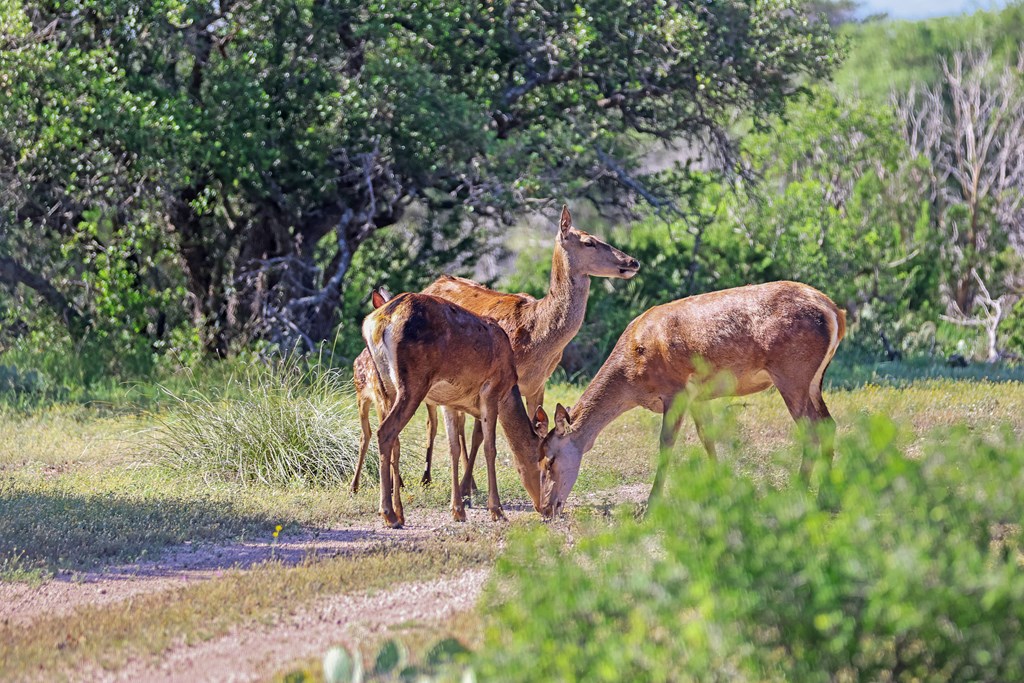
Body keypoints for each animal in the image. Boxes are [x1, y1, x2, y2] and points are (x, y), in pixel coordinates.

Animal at [362, 288, 548, 528]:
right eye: (545, 464)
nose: (546, 507)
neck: (509, 388)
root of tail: (380, 320)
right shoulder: (491, 390)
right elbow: (490, 448)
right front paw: (496, 510)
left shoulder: (447, 402)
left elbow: (454, 449)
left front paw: (458, 510)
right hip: (413, 382)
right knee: (385, 432)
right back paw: (389, 515)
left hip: (385, 386)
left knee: (395, 440)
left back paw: (400, 513)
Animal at [532, 282, 843, 518]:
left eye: (549, 460)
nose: (545, 509)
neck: (632, 377)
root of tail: (835, 312)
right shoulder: (698, 396)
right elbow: (707, 437)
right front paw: (720, 491)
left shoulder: (676, 390)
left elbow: (666, 444)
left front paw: (650, 506)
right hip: (813, 381)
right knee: (829, 424)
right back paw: (825, 496)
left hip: (792, 374)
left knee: (812, 431)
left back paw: (799, 492)